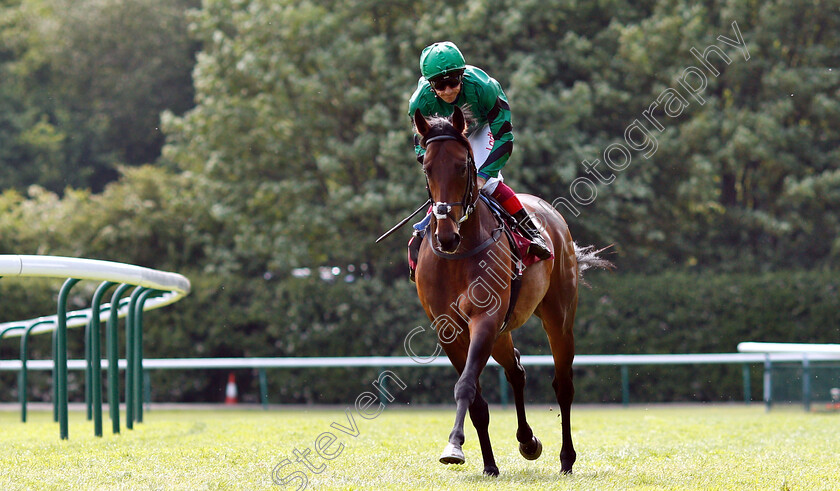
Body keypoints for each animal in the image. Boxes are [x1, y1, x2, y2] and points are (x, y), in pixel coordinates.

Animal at [414, 104, 612, 476]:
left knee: (563, 385)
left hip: (558, 316)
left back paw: (566, 459)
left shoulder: (485, 318)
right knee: (516, 370)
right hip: (503, 331)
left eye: (462, 166)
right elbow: (476, 399)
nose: (446, 235)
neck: (458, 254)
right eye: (427, 167)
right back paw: (527, 441)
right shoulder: (449, 330)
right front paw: (487, 464)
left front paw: (454, 446)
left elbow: (465, 386)